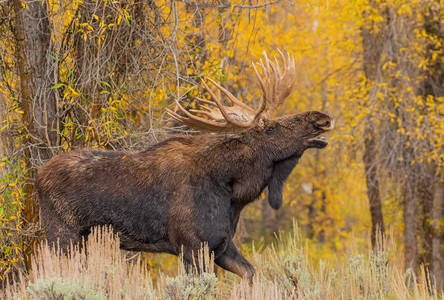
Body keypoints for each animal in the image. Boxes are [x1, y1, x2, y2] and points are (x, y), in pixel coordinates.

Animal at [36, 51, 332, 282]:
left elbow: (251, 273)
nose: (322, 119)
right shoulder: (192, 246)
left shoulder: (222, 245)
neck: (233, 193)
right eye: (271, 129)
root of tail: (37, 175)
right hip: (62, 234)